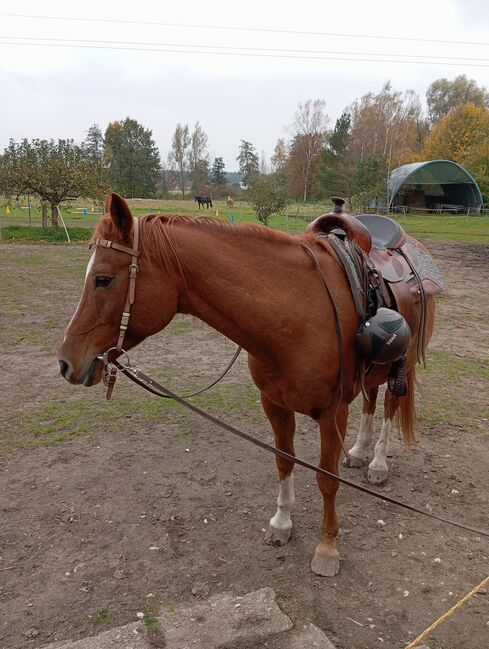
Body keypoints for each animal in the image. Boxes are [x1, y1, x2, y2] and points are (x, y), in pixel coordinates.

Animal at [57, 194, 434, 576]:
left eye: (103, 280)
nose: (65, 361)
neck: (296, 315)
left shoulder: (332, 413)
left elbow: (326, 479)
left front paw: (327, 547)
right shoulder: (274, 404)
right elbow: (284, 462)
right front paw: (282, 524)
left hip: (399, 369)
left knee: (387, 409)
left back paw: (378, 464)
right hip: (373, 372)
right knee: (370, 401)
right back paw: (357, 452)